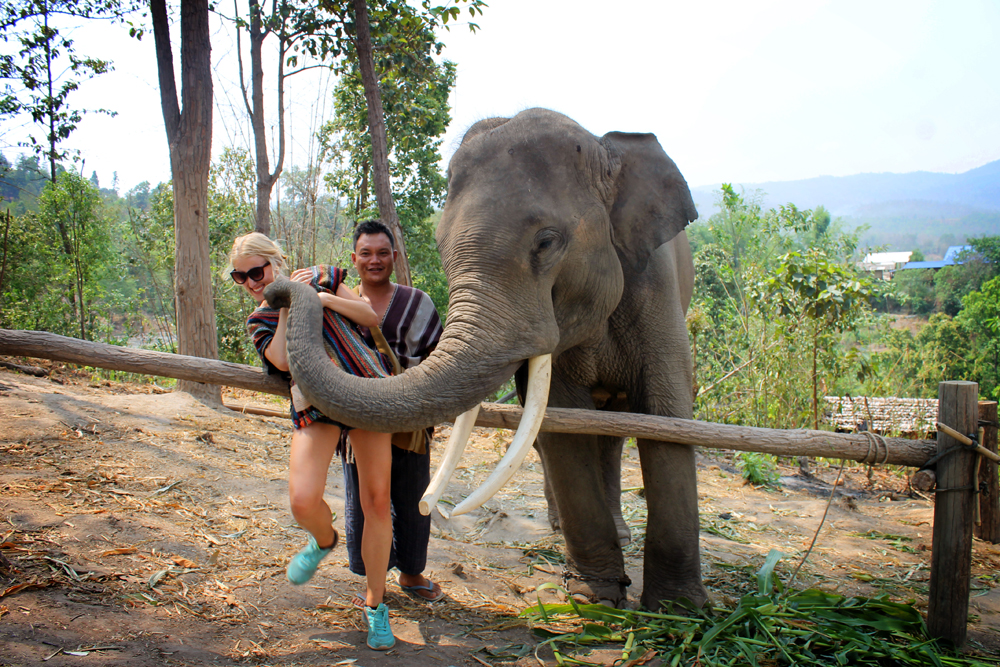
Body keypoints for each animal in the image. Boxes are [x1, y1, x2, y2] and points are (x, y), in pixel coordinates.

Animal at [262, 105, 708, 612]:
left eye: (546, 242)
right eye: (440, 246)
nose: (286, 285)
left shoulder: (656, 286)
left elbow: (666, 418)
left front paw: (679, 611)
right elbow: (564, 425)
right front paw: (593, 598)